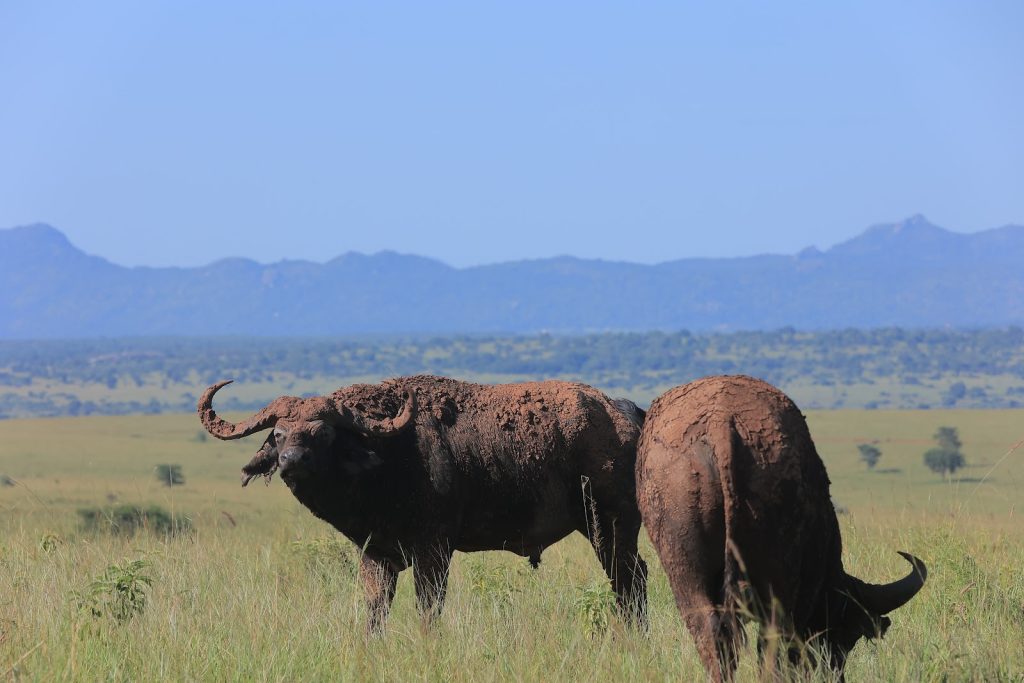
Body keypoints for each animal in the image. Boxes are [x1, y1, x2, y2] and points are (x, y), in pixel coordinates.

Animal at [199, 374, 648, 632]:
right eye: (278, 434)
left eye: (323, 433)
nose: (292, 461)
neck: (391, 456)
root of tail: (624, 411)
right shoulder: (376, 553)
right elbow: (375, 610)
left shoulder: (434, 550)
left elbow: (428, 608)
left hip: (608, 526)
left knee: (630, 579)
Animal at [636, 375, 926, 680]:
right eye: (847, 632)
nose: (835, 673)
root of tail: (720, 427)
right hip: (777, 584)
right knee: (771, 646)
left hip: (687, 575)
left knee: (713, 638)